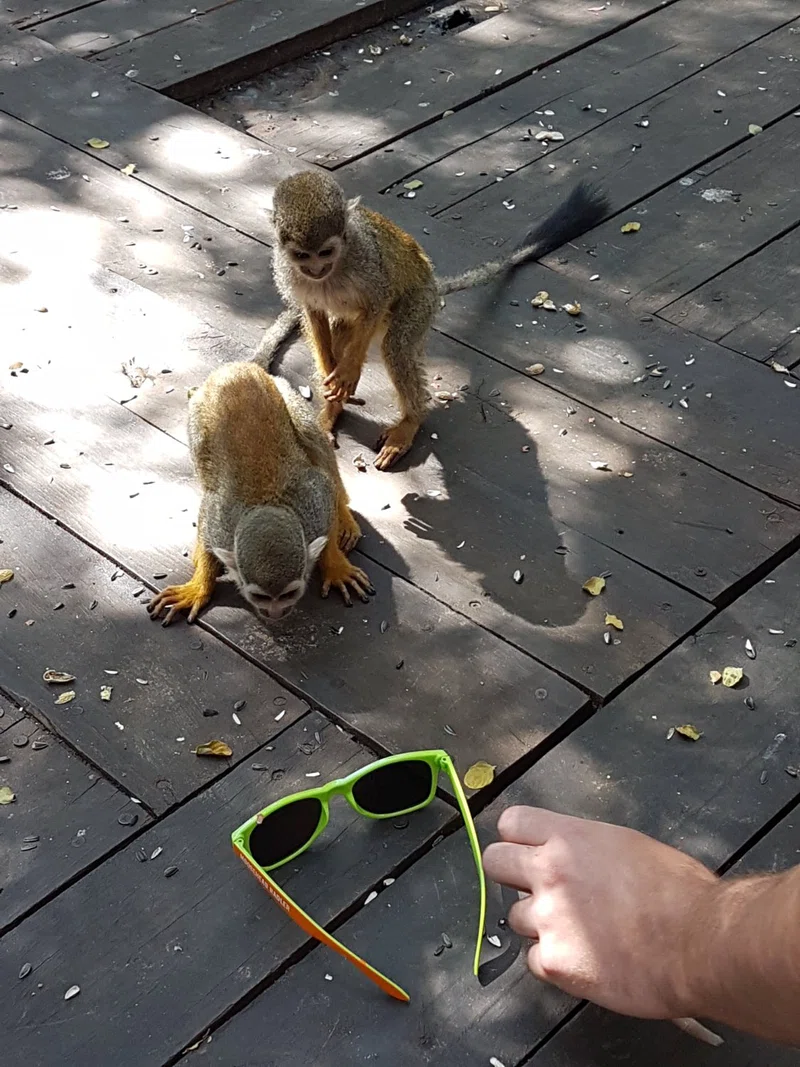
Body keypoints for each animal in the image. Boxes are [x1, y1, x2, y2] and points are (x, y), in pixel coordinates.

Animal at [147, 361, 373, 627]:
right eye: (261, 597)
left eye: (288, 594)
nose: (276, 613)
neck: (266, 503)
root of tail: (235, 367)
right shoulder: (220, 526)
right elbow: (207, 519)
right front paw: (198, 586)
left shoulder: (314, 504)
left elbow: (325, 489)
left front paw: (336, 566)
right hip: (196, 414)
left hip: (284, 390)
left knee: (309, 432)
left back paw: (344, 514)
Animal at [254, 172, 608, 469]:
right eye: (302, 255)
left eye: (325, 252)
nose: (315, 269)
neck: (334, 267)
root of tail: (433, 282)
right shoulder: (287, 269)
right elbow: (311, 312)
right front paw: (333, 377)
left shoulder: (365, 259)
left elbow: (377, 300)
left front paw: (349, 372)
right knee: (342, 328)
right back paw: (333, 410)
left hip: (419, 302)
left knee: (396, 346)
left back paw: (410, 421)